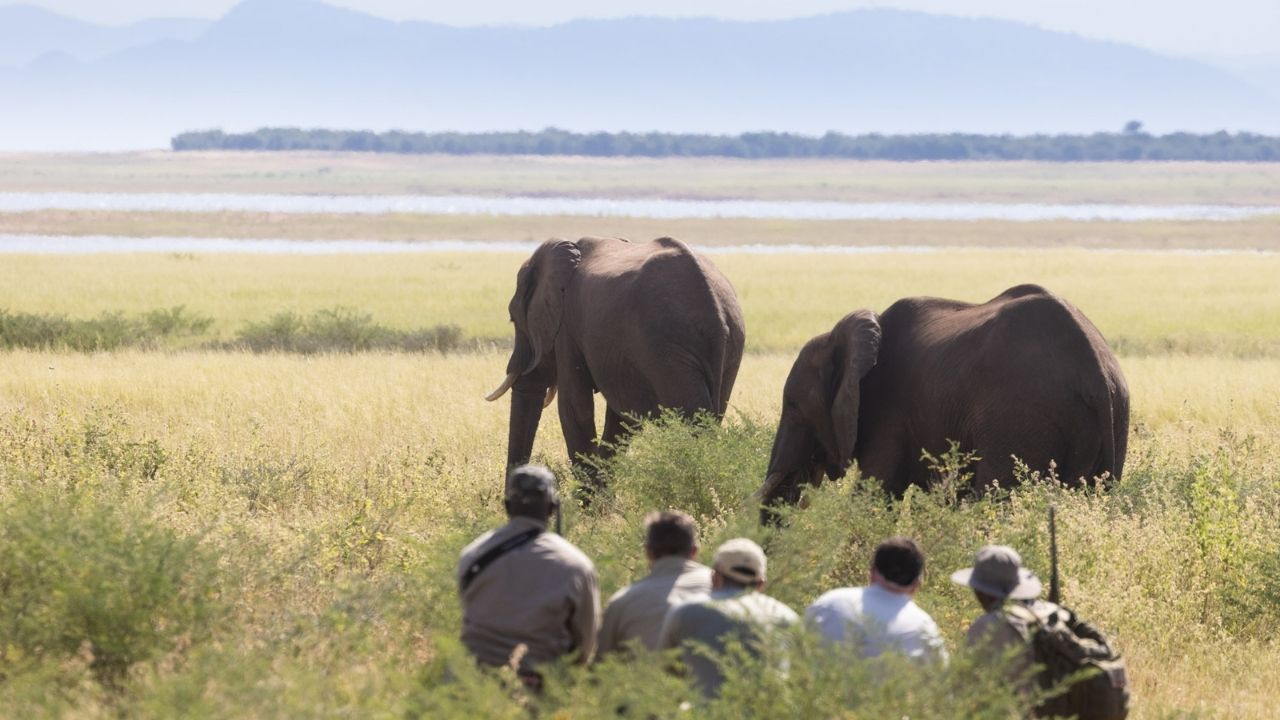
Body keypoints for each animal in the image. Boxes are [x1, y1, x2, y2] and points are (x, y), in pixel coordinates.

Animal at [486, 236, 745, 485]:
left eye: (513, 319)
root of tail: (715, 314)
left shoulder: (567, 329)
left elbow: (575, 407)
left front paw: (589, 499)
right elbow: (620, 419)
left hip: (668, 347)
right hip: (727, 348)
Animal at [758, 284, 1128, 513]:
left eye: (793, 405)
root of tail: (1094, 368)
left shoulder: (888, 413)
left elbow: (875, 495)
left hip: (1021, 419)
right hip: (1112, 416)